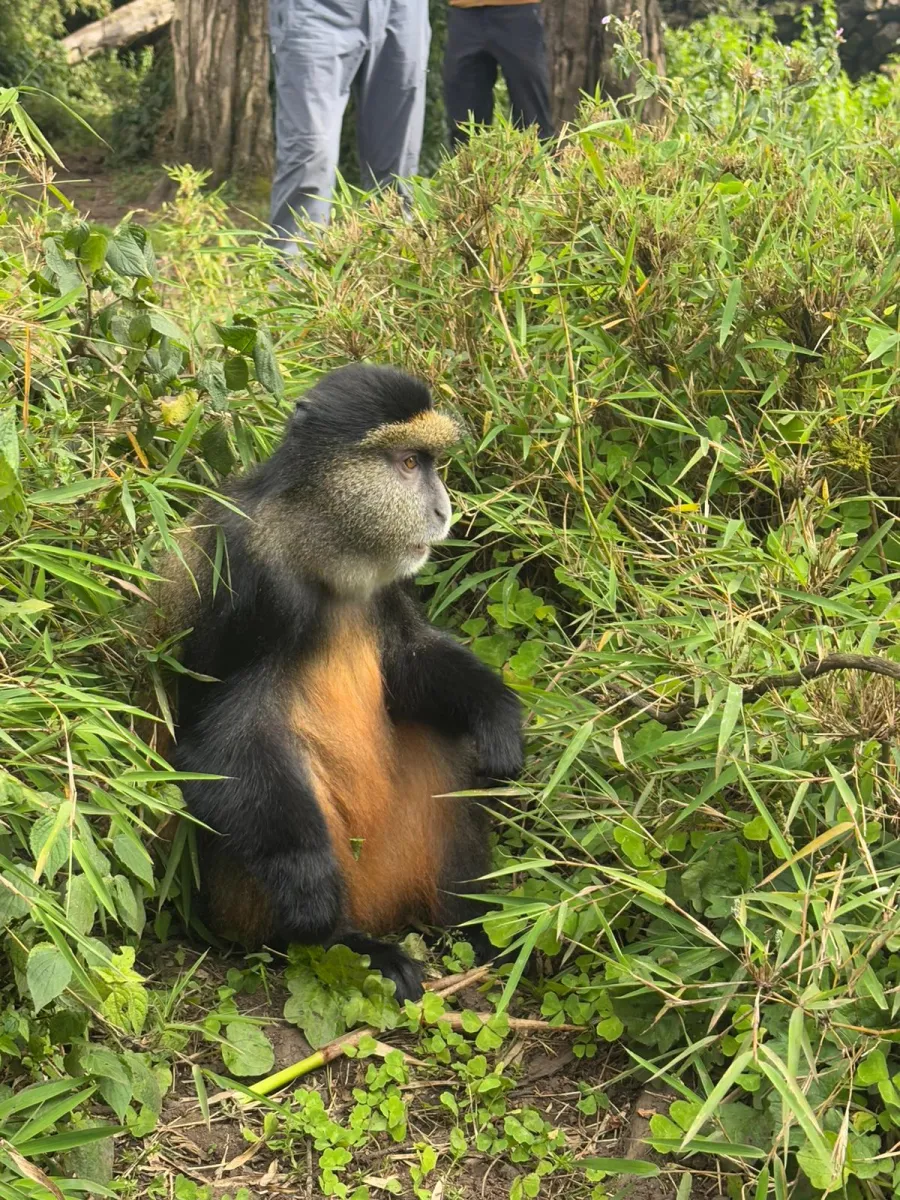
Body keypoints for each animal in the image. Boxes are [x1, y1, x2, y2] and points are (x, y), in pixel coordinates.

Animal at [160, 364, 524, 1002]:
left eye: (430, 462)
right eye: (409, 463)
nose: (443, 511)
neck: (317, 546)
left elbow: (408, 662)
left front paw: (498, 716)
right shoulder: (248, 581)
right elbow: (214, 743)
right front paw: (309, 892)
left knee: (445, 741)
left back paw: (475, 927)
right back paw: (352, 945)